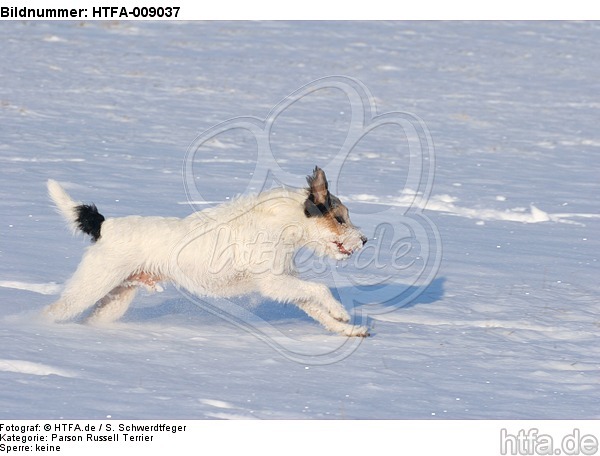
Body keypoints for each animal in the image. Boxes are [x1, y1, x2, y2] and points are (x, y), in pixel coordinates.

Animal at [44, 167, 368, 334]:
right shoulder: (274, 282)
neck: (280, 224)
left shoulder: (284, 284)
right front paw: (341, 312)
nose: (364, 240)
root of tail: (104, 226)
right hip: (90, 286)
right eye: (340, 218)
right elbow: (320, 289)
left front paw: (346, 329)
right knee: (50, 312)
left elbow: (315, 306)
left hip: (115, 298)